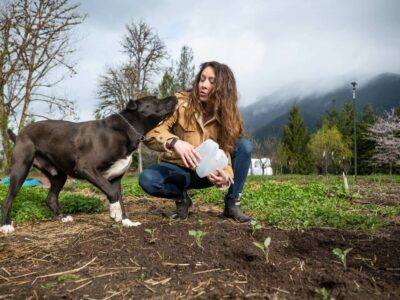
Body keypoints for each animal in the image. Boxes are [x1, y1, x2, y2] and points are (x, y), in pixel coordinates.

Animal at [0, 95, 178, 233]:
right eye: (155, 99)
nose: (175, 96)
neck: (126, 129)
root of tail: (21, 133)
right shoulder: (86, 168)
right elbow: (112, 194)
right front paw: (115, 214)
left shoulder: (116, 178)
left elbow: (120, 198)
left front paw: (126, 221)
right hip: (21, 169)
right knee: (8, 198)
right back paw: (6, 226)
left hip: (58, 176)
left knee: (50, 198)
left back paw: (63, 217)